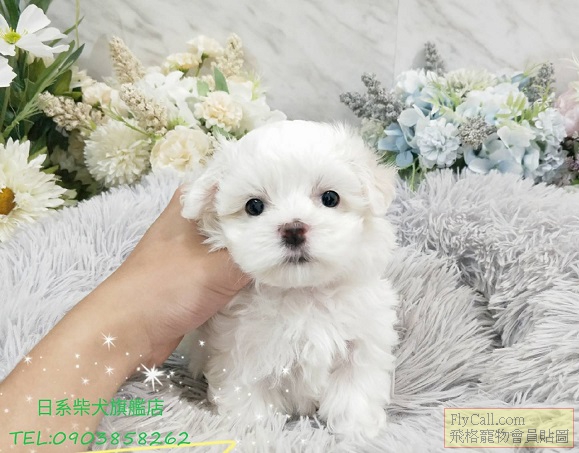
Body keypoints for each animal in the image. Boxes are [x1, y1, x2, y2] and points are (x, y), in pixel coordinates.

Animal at [181, 120, 398, 438]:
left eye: (330, 198)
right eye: (254, 206)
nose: (294, 229)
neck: (302, 291)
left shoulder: (362, 339)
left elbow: (354, 388)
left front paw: (357, 430)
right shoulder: (242, 348)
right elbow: (247, 393)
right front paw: (252, 431)